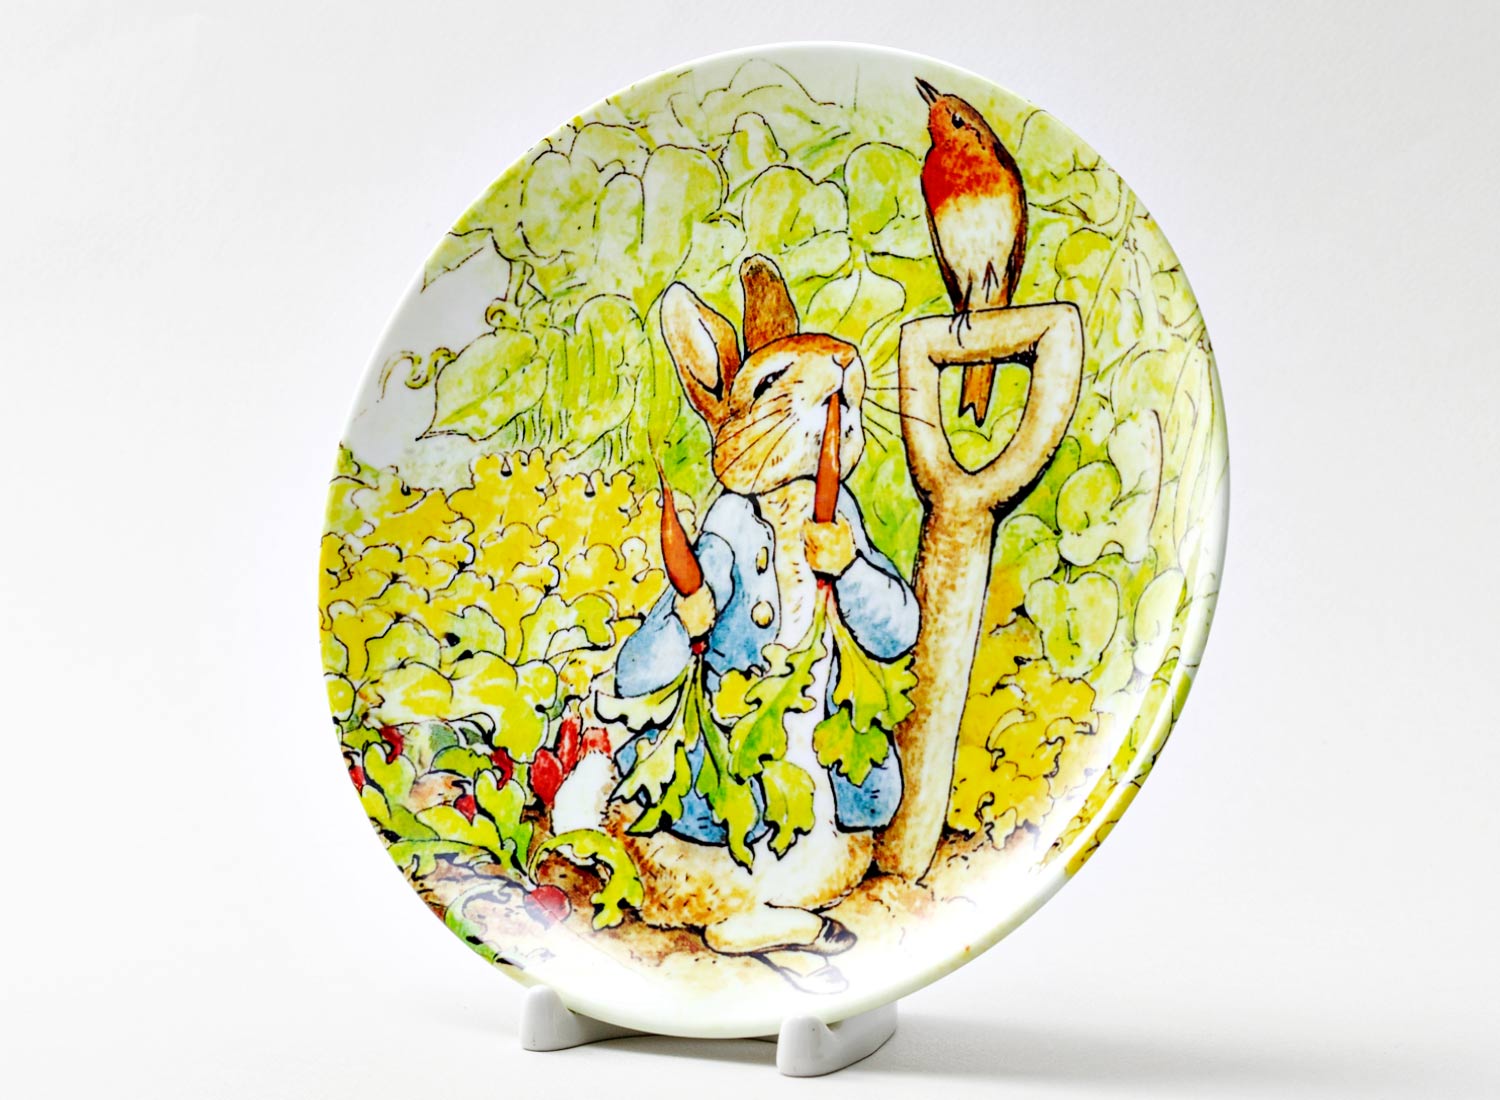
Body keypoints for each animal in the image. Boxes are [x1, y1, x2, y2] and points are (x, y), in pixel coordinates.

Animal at [555, 254, 919, 993]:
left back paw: (823, 949)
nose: (846, 358)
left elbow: (896, 614)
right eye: (770, 381)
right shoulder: (712, 552)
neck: (792, 502)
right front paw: (693, 612)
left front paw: (830, 550)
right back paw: (815, 945)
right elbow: (642, 658)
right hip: (692, 865)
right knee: (723, 930)